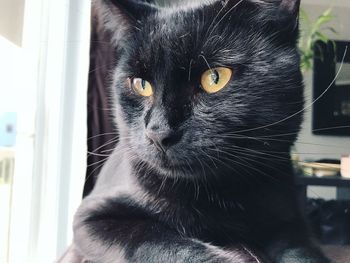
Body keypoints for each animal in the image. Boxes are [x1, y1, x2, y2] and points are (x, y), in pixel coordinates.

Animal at [69, 0, 330, 262]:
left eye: (215, 78)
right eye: (140, 85)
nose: (158, 132)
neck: (214, 194)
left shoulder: (290, 223)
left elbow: (301, 253)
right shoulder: (90, 217)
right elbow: (156, 240)